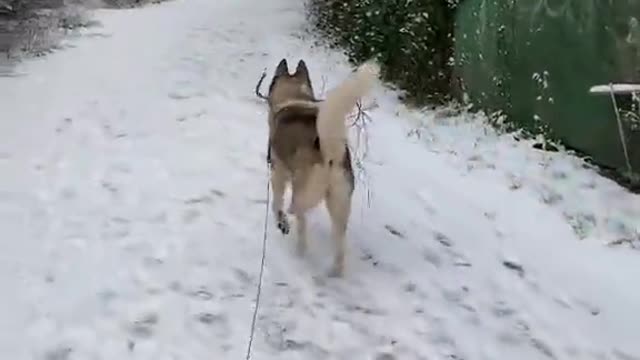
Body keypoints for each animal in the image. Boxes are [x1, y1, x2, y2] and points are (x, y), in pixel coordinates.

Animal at [264, 57, 380, 276]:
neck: (294, 97)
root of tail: (330, 154)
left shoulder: (278, 172)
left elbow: (276, 203)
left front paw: (280, 221)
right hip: (340, 203)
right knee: (339, 243)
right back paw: (334, 271)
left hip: (304, 192)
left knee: (299, 219)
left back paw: (296, 246)